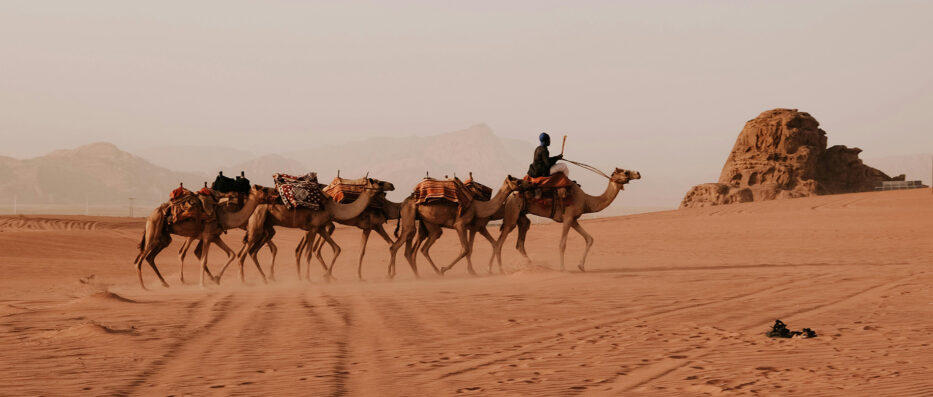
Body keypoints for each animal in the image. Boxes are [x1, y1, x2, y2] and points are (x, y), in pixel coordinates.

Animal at [133, 184, 276, 290]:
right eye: (263, 189)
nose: (275, 193)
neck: (224, 217)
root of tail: (151, 214)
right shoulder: (207, 236)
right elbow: (203, 261)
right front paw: (202, 285)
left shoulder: (215, 237)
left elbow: (231, 254)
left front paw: (217, 279)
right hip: (153, 231)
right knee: (140, 259)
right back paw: (143, 287)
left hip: (164, 237)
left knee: (151, 257)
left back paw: (165, 283)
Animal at [229, 178, 390, 284]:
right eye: (379, 182)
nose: (392, 185)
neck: (333, 206)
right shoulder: (313, 228)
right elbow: (308, 253)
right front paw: (308, 278)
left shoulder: (320, 227)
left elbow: (336, 248)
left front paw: (327, 276)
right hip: (257, 223)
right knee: (243, 254)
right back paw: (242, 280)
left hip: (265, 227)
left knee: (251, 251)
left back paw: (263, 278)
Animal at [386, 176, 528, 278]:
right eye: (518, 181)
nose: (529, 184)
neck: (478, 207)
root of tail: (404, 203)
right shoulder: (461, 224)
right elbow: (466, 249)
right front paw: (446, 269)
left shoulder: (470, 227)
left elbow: (470, 249)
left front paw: (473, 271)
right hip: (410, 215)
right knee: (398, 245)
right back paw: (391, 275)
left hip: (426, 222)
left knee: (419, 247)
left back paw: (422, 274)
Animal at [488, 167, 640, 272]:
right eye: (626, 172)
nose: (638, 173)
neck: (587, 201)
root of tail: (509, 197)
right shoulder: (568, 217)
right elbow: (562, 244)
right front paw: (563, 269)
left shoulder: (573, 220)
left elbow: (589, 238)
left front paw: (581, 266)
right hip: (512, 215)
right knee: (499, 243)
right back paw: (497, 270)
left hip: (521, 217)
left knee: (520, 242)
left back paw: (532, 266)